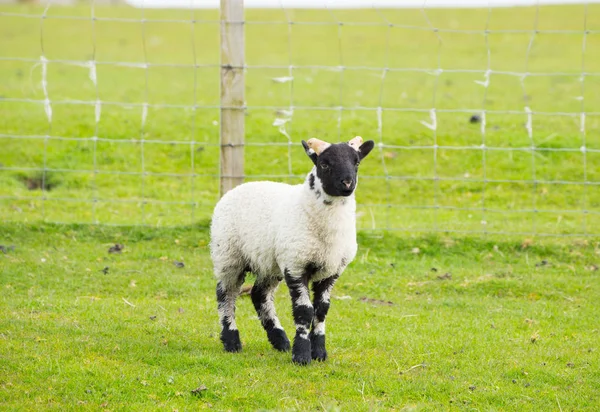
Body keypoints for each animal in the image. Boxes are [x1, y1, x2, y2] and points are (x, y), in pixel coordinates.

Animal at [209, 135, 372, 364]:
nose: (348, 183)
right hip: (228, 255)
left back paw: (280, 340)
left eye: (356, 162)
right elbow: (304, 311)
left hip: (269, 263)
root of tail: (239, 187)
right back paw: (232, 340)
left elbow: (321, 310)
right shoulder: (296, 265)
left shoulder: (331, 271)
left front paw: (319, 352)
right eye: (324, 164)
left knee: (259, 295)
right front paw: (302, 355)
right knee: (226, 295)